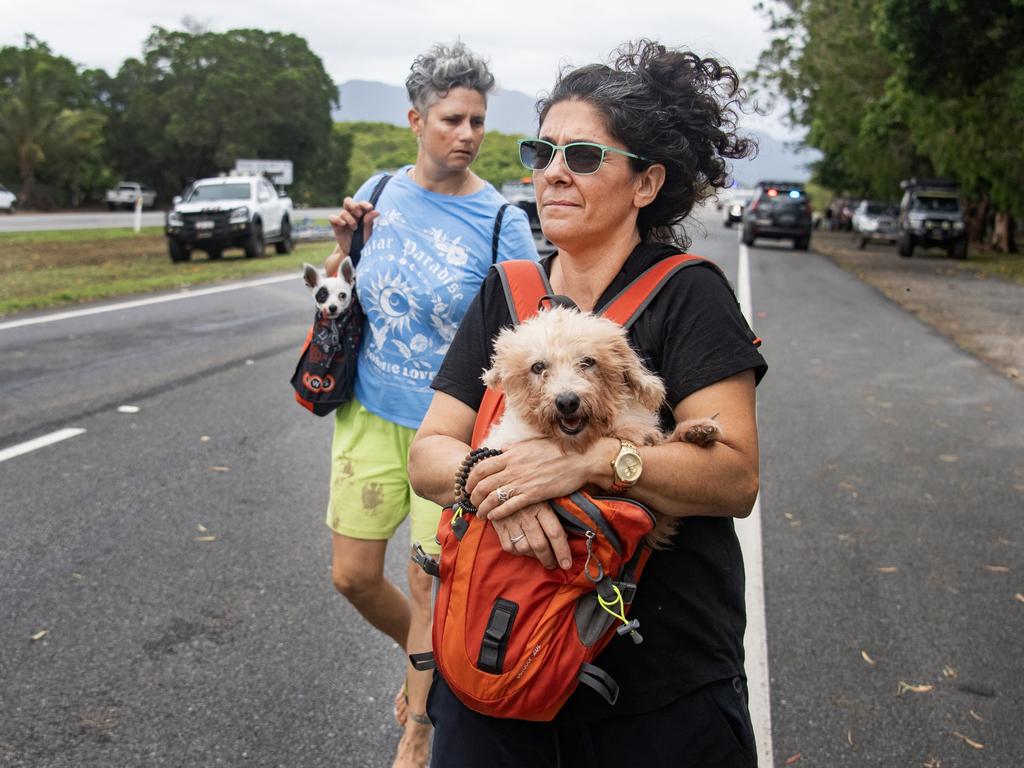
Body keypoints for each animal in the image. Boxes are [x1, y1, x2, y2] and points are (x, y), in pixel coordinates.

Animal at [479, 307, 720, 548]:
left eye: (587, 361)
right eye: (538, 367)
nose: (567, 402)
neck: (577, 441)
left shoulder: (654, 519)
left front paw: (694, 431)